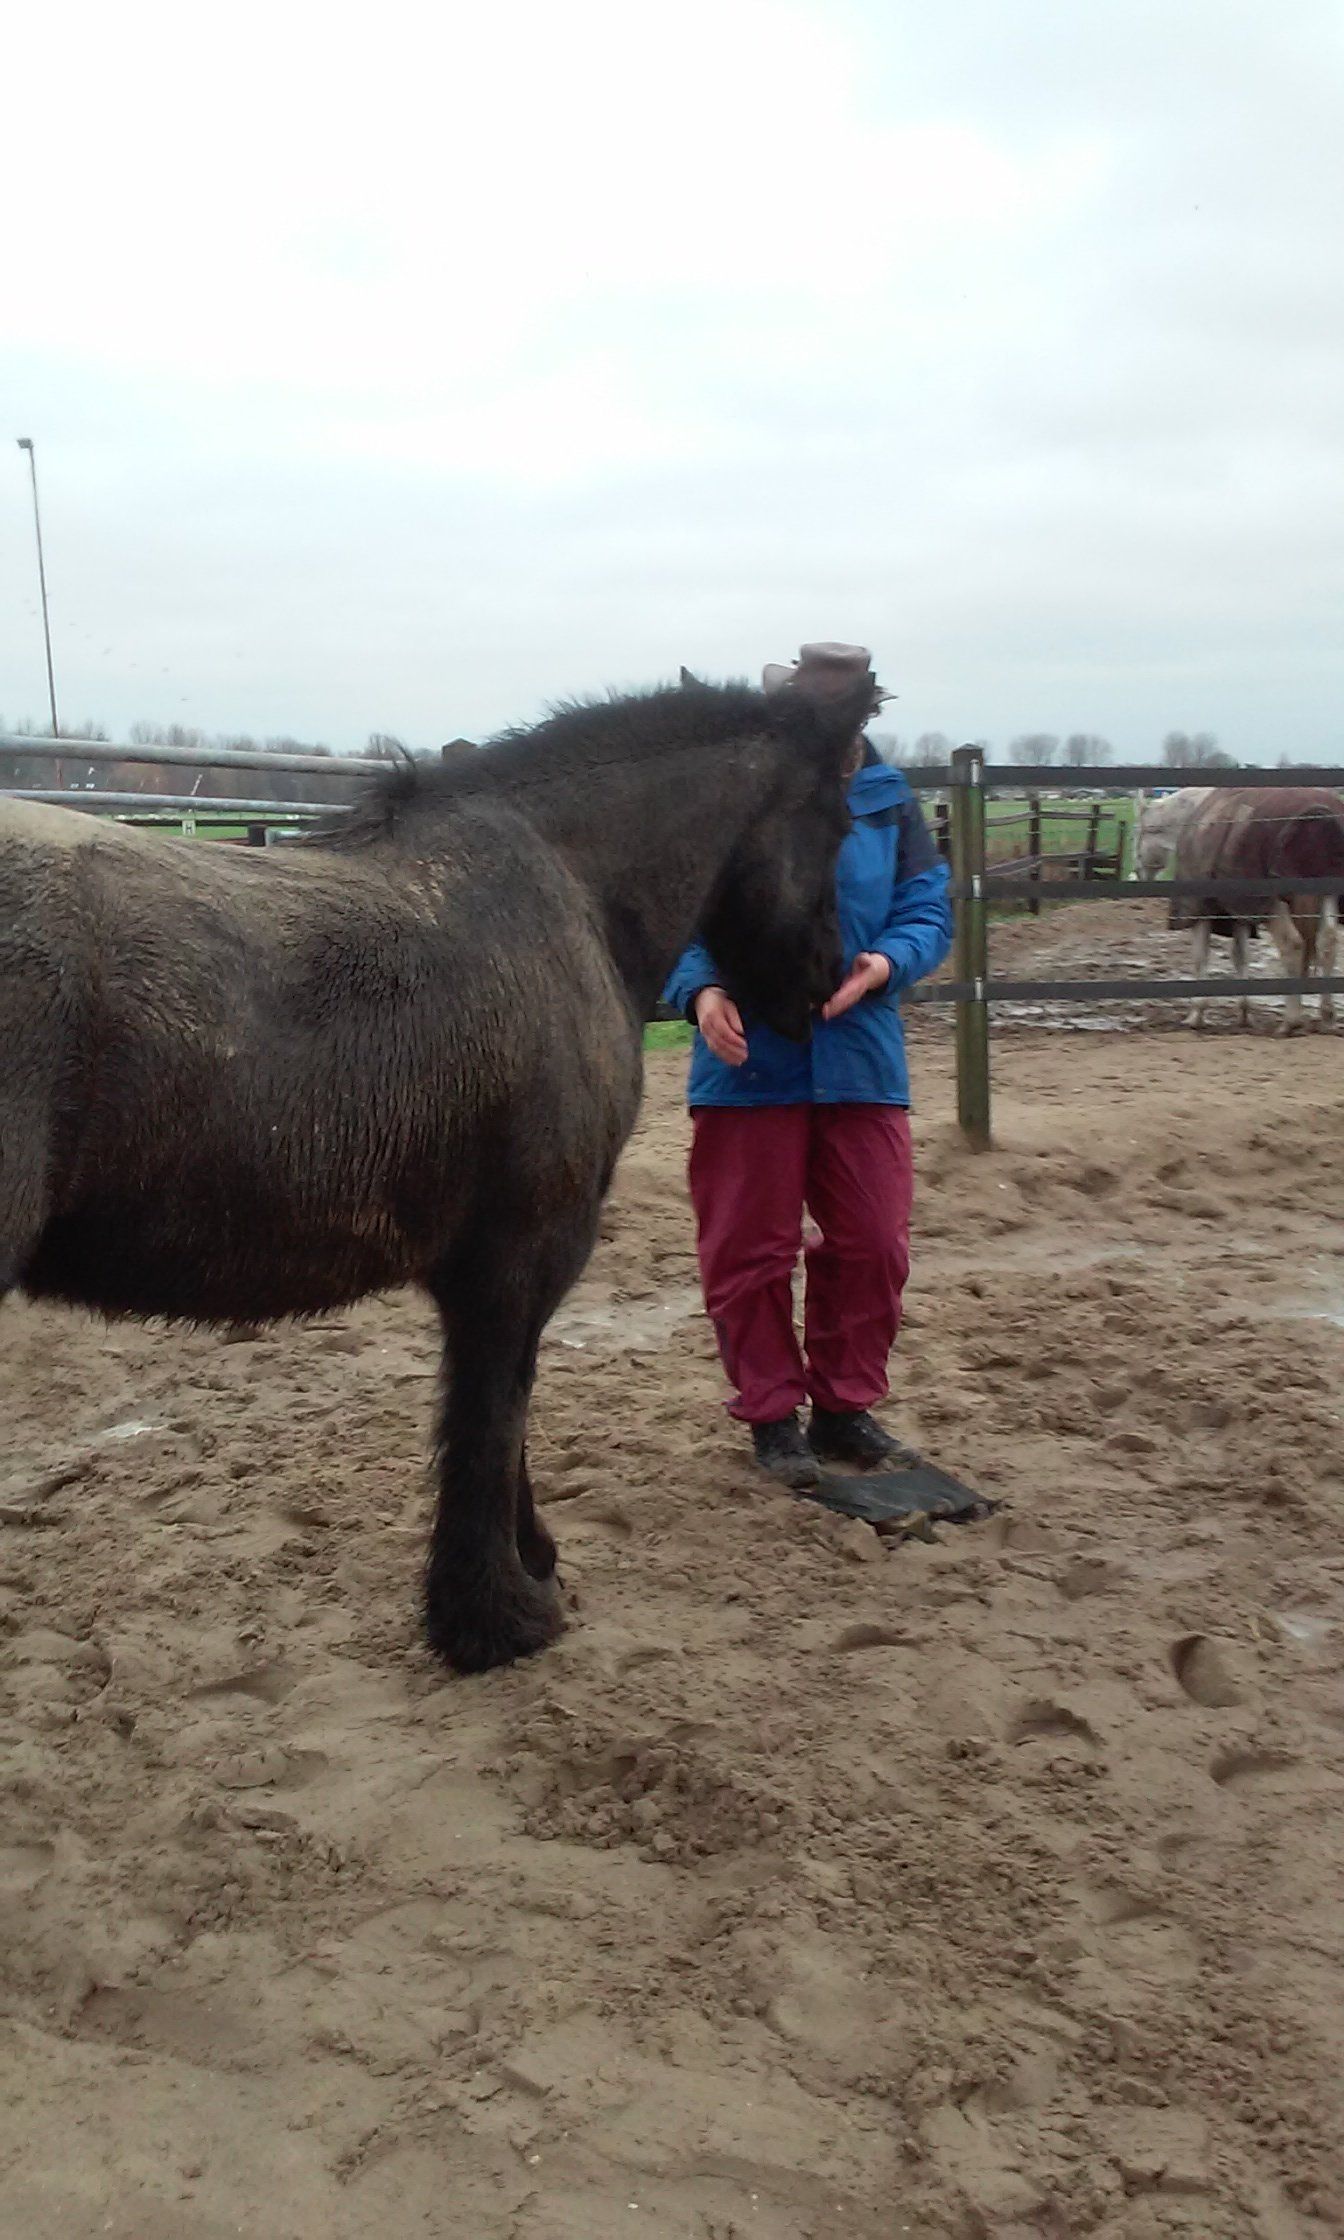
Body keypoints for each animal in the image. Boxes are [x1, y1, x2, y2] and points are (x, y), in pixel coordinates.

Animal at [0, 673, 871, 1672]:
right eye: (842, 821)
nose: (825, 985)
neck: (570, 890)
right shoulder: (520, 1256)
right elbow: (492, 1415)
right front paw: (496, 1617)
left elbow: (502, 1417)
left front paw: (529, 1563)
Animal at [1168, 786, 1344, 1031]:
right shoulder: (1240, 911)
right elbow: (1240, 955)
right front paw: (1244, 1013)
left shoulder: (1201, 909)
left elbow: (1200, 956)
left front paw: (1196, 1014)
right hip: (1327, 893)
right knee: (1327, 941)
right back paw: (1326, 1017)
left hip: (1274, 901)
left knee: (1293, 945)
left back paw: (1291, 1021)